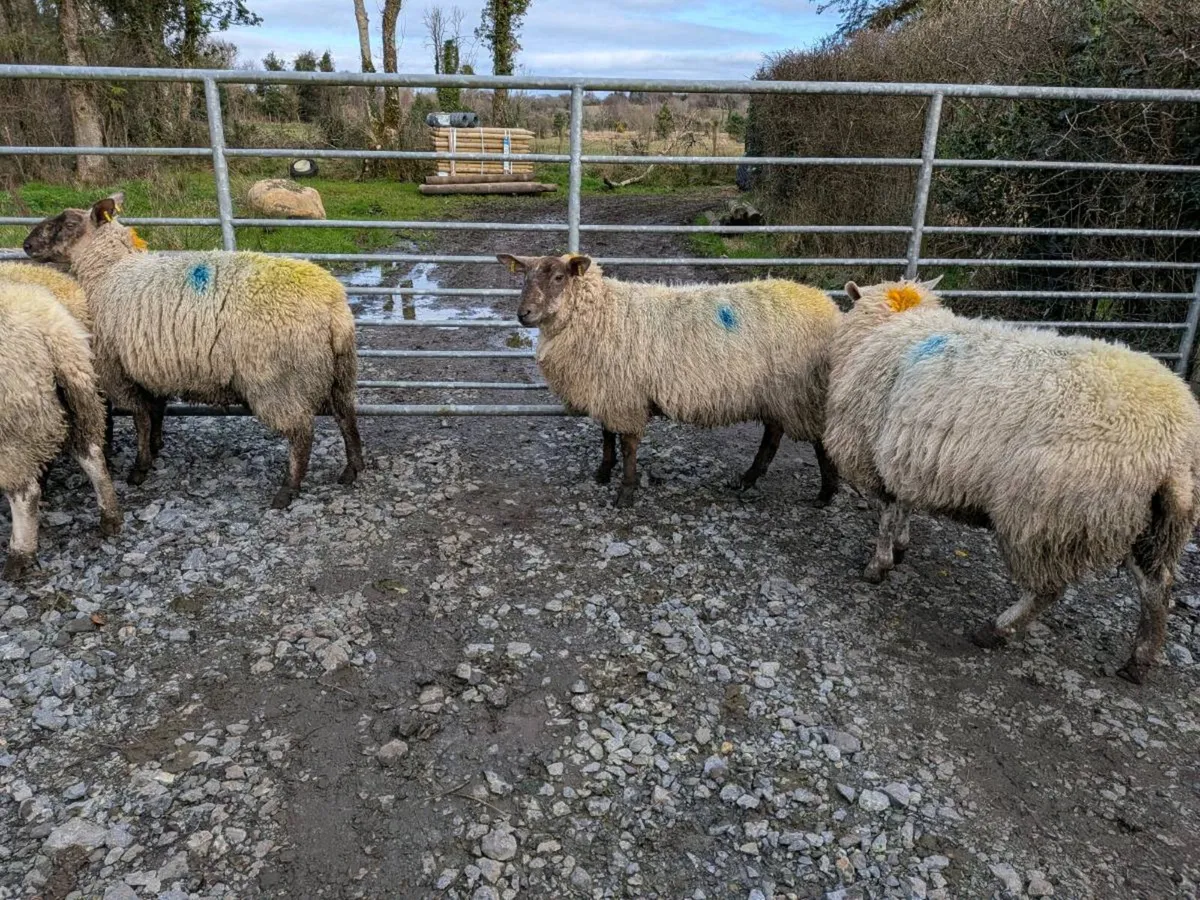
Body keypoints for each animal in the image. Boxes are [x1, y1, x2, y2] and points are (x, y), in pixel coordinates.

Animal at [0, 281, 122, 579]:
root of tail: (53, 332)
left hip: (12, 427)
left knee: (25, 494)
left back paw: (19, 556)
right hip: (76, 403)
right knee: (92, 456)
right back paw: (110, 516)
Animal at [23, 193, 364, 509]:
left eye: (68, 224)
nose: (26, 245)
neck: (109, 272)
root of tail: (333, 306)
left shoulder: (119, 371)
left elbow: (141, 419)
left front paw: (140, 468)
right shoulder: (151, 368)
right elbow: (156, 412)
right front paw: (157, 447)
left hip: (278, 381)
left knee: (302, 434)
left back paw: (287, 490)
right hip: (340, 371)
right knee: (346, 415)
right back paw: (353, 469)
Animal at [496, 253, 840, 507]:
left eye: (558, 278)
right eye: (524, 277)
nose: (523, 314)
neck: (601, 312)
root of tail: (828, 307)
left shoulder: (625, 395)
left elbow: (627, 445)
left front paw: (626, 492)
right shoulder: (608, 390)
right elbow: (606, 435)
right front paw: (603, 472)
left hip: (801, 391)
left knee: (817, 440)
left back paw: (825, 494)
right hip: (777, 392)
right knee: (773, 434)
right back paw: (748, 479)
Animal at [823, 276, 1200, 683]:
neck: (895, 325)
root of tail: (1175, 450)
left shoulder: (872, 454)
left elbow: (887, 515)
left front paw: (878, 566)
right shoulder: (904, 457)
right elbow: (903, 507)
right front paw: (902, 547)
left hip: (1045, 516)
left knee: (1048, 590)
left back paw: (996, 630)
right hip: (1144, 523)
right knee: (1156, 587)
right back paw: (1139, 660)